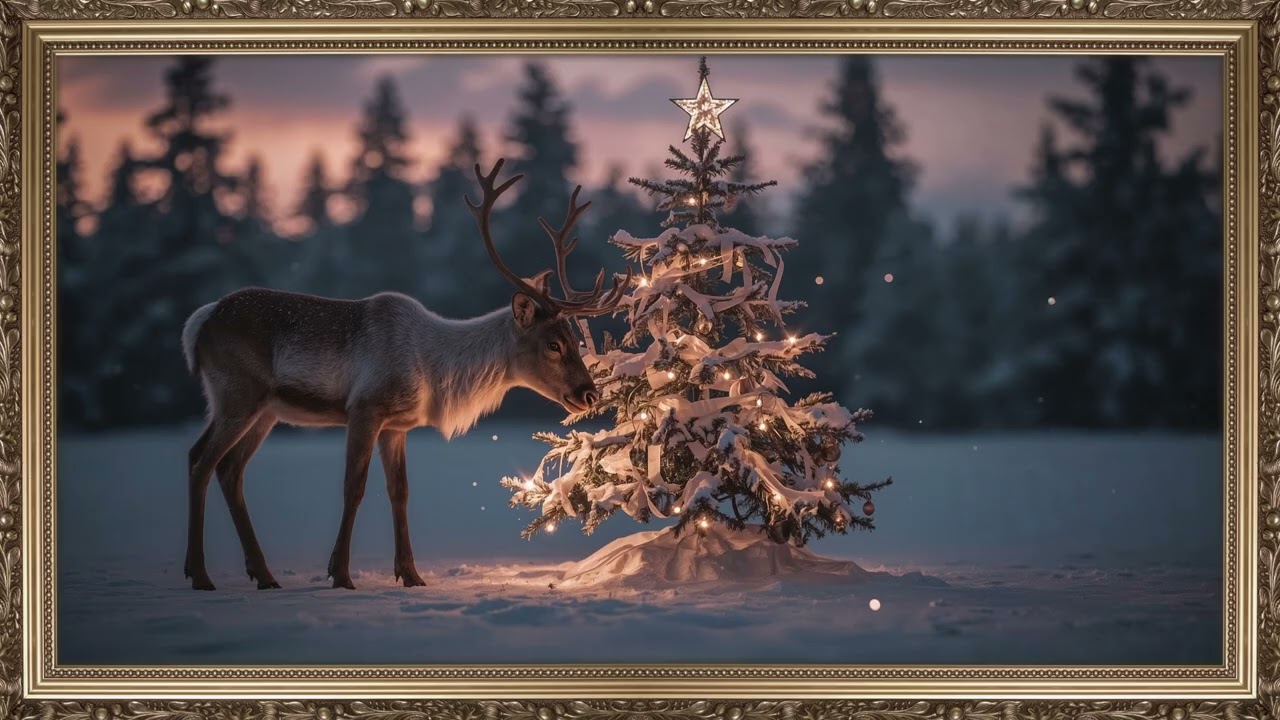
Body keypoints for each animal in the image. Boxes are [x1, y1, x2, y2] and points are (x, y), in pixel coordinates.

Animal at [180, 159, 630, 591]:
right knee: (202, 460)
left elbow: (400, 493)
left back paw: (262, 574)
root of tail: (199, 324)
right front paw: (340, 574)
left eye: (572, 337)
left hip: (264, 409)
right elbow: (354, 487)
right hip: (238, 395)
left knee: (227, 468)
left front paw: (411, 574)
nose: (590, 393)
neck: (434, 371)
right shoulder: (365, 408)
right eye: (553, 344)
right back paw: (201, 575)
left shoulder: (397, 425)